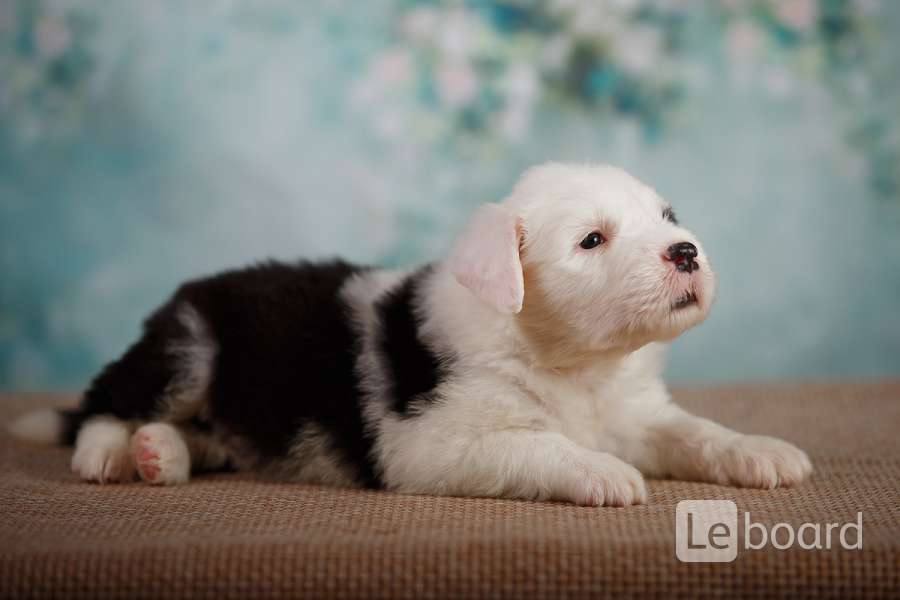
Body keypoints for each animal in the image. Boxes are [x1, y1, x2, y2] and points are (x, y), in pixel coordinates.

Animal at [10, 164, 812, 506]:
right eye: (592, 240)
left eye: (667, 216)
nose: (687, 251)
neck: (574, 363)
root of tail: (182, 296)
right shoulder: (431, 443)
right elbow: (536, 446)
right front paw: (603, 473)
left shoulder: (638, 413)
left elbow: (695, 431)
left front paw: (763, 452)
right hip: (187, 346)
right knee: (103, 403)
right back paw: (111, 452)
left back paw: (162, 454)